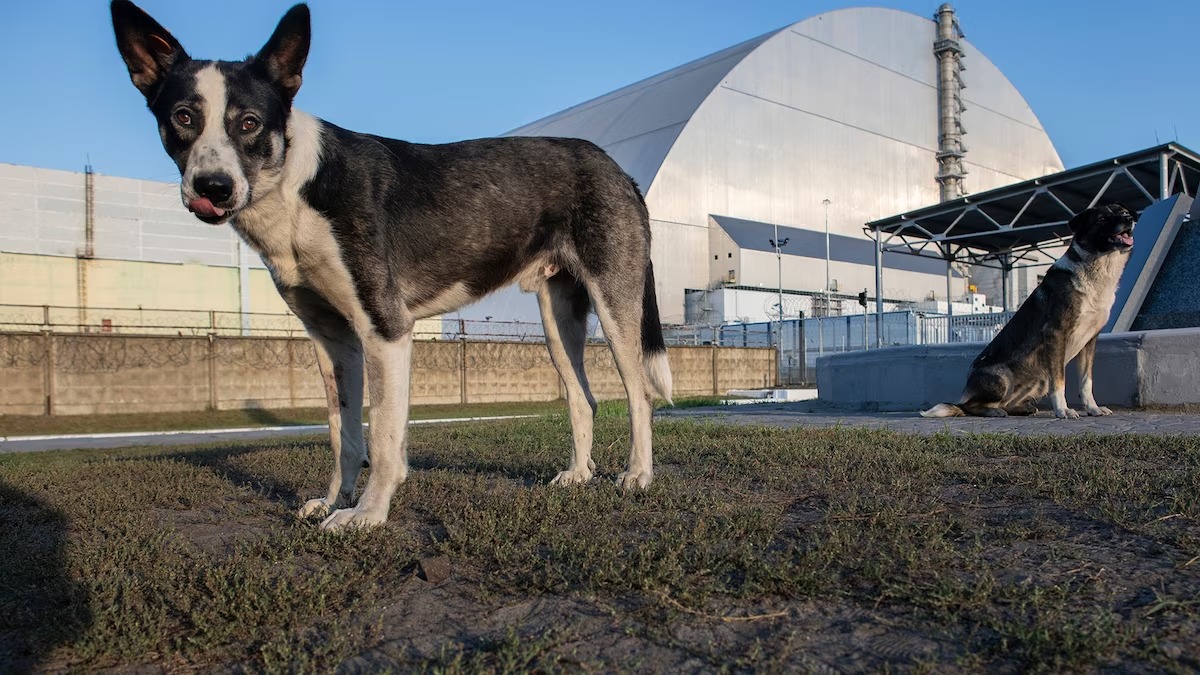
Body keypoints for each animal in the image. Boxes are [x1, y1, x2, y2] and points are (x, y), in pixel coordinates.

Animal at [110, 0, 676, 528]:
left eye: (249, 123)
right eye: (182, 117)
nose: (213, 187)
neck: (299, 185)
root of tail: (618, 169)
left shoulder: (385, 329)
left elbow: (382, 435)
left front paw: (366, 515)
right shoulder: (333, 340)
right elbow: (343, 434)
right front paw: (334, 500)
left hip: (615, 304)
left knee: (640, 393)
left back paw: (637, 476)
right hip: (557, 318)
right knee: (583, 398)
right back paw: (579, 475)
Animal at [916, 201, 1132, 417]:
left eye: (1123, 212)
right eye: (1101, 219)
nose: (1129, 219)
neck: (1098, 266)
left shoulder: (1090, 339)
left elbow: (1086, 381)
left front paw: (1093, 408)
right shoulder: (1055, 332)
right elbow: (1059, 381)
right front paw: (1063, 410)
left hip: (1039, 379)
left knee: (1005, 403)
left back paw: (1021, 408)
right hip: (1003, 377)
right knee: (968, 406)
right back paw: (993, 411)